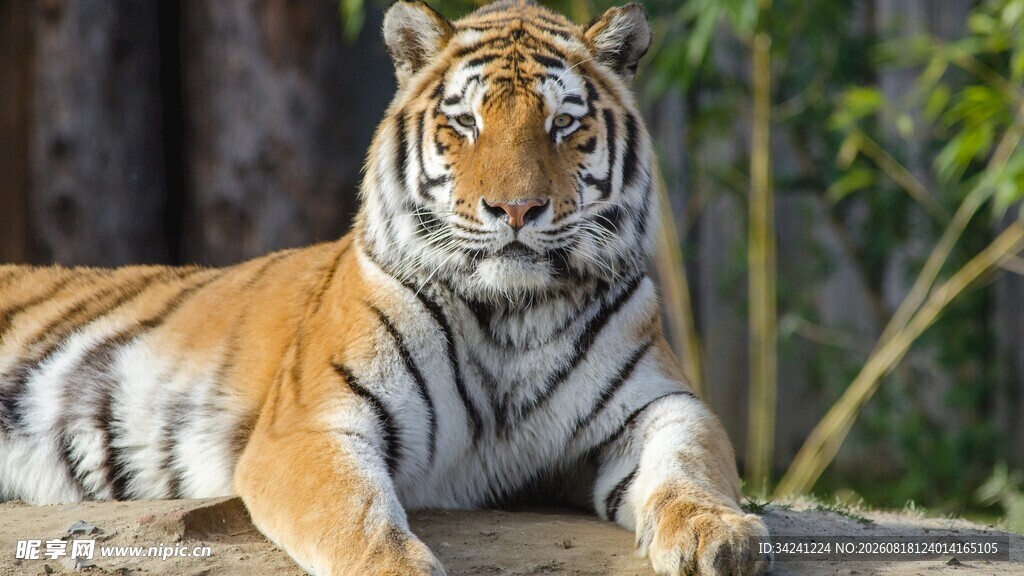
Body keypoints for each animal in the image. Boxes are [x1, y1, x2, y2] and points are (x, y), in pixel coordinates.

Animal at [0, 1, 770, 574]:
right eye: (466, 122)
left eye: (563, 123)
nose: (516, 209)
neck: (511, 316)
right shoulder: (310, 425)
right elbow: (358, 521)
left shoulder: (662, 404)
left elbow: (691, 467)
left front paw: (718, 535)